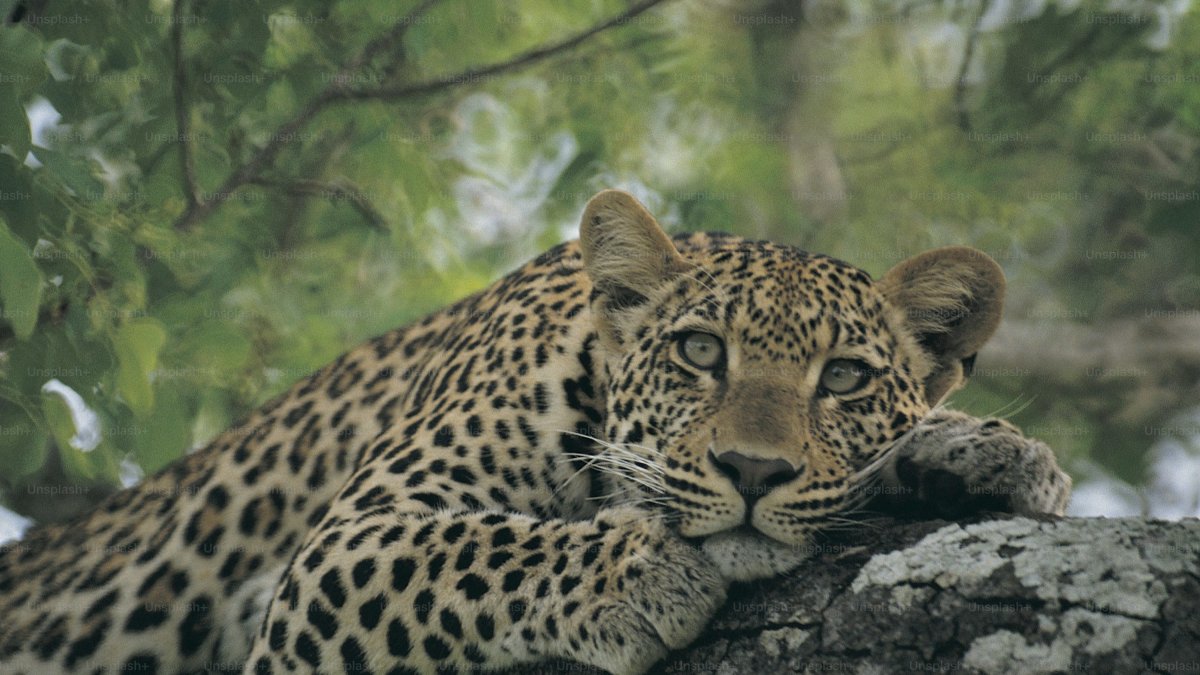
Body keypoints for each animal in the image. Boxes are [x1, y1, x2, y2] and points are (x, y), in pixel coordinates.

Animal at [0, 189, 1071, 674]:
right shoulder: (339, 550)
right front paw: (638, 573)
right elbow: (469, 549)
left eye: (843, 377)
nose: (752, 470)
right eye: (699, 351)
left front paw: (990, 451)